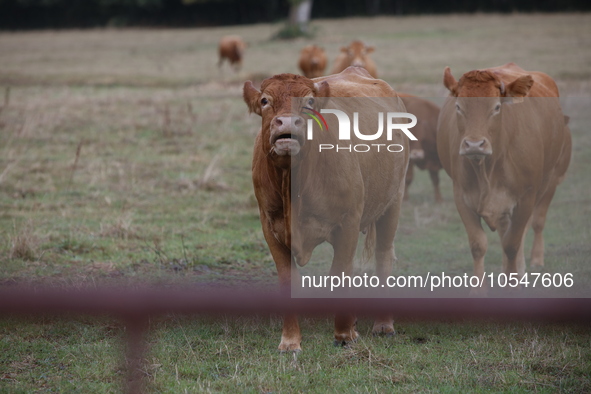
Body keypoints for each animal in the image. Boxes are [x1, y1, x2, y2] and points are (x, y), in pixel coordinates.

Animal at [243, 67, 410, 350]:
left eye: (309, 102)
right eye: (265, 100)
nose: (288, 123)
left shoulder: (348, 223)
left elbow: (339, 273)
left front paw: (343, 333)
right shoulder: (270, 227)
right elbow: (288, 280)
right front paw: (290, 341)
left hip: (393, 201)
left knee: (384, 255)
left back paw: (383, 324)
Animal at [438, 63, 572, 294]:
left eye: (496, 108)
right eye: (458, 107)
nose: (474, 145)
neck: (488, 167)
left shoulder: (526, 197)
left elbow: (512, 243)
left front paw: (512, 284)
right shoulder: (462, 197)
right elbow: (478, 244)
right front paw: (478, 290)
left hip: (546, 183)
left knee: (527, 227)